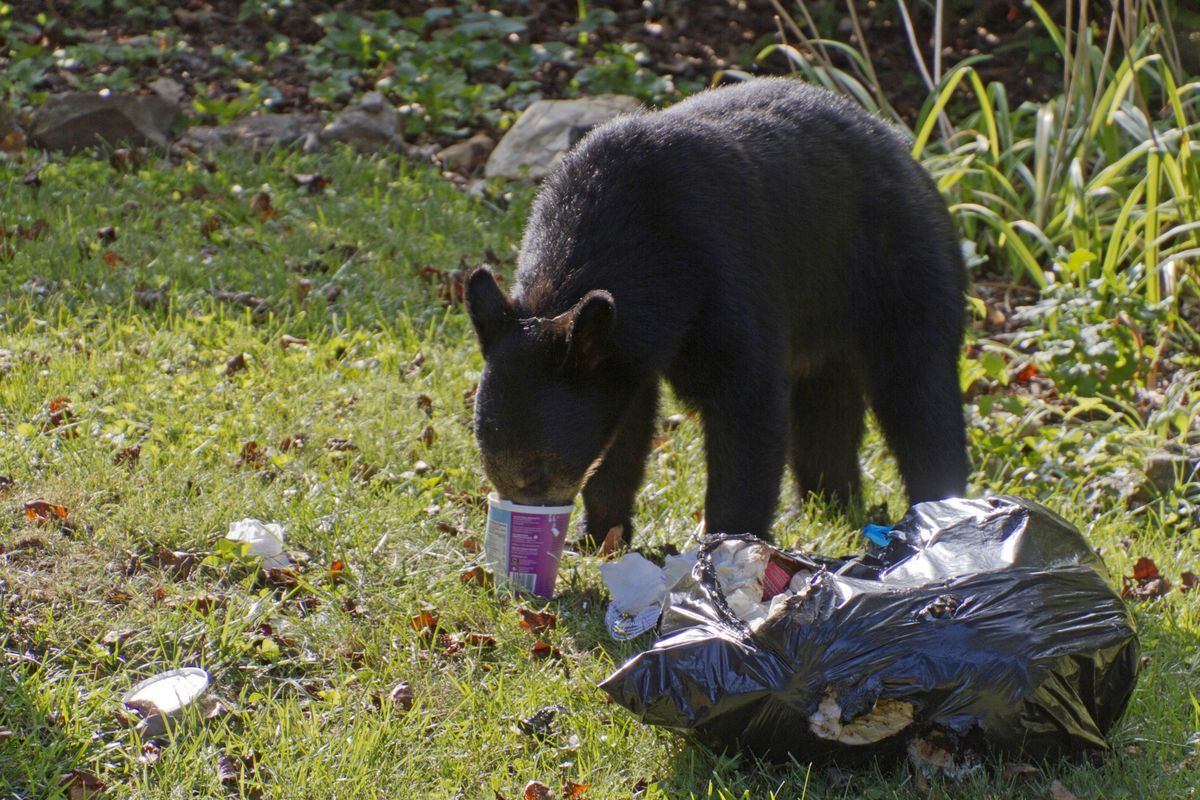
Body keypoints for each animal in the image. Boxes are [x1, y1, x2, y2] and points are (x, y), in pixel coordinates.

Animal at [463, 77, 969, 551]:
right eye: (492, 468)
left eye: (538, 472)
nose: (527, 524)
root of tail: (908, 153)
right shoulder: (623, 350)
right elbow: (625, 429)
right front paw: (600, 534)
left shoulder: (723, 274)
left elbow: (748, 404)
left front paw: (729, 544)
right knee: (826, 407)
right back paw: (825, 505)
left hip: (901, 269)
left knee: (919, 392)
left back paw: (939, 511)